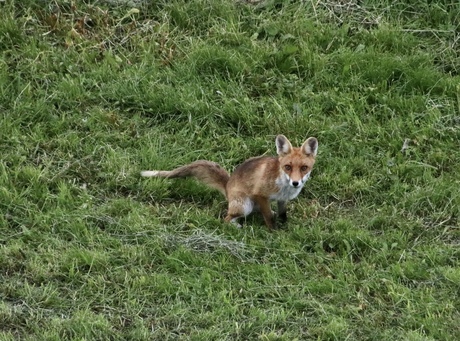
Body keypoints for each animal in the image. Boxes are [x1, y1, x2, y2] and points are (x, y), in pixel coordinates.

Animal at [142, 135, 318, 228]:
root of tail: (227, 186)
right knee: (225, 219)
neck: (284, 186)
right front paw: (273, 231)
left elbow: (282, 214)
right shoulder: (260, 194)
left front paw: (284, 226)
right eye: (288, 167)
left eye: (304, 168)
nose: (296, 183)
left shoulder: (282, 200)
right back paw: (235, 226)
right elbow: (268, 217)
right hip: (245, 206)